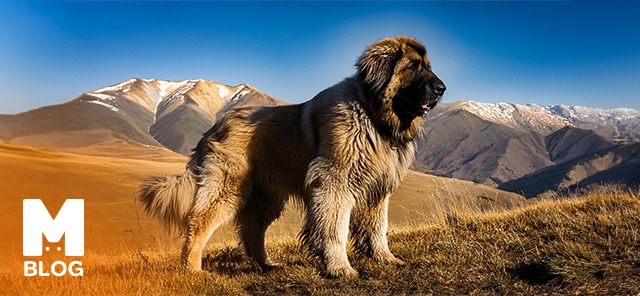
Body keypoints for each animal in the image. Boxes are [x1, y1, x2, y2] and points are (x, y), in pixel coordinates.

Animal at [139, 35, 444, 278]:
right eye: (412, 67)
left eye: (428, 67)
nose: (442, 88)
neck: (371, 113)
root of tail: (217, 124)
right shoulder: (334, 182)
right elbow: (335, 228)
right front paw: (340, 267)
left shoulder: (378, 188)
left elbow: (378, 227)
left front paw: (384, 258)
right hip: (228, 188)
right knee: (199, 223)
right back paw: (192, 269)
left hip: (267, 197)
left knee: (252, 231)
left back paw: (265, 265)